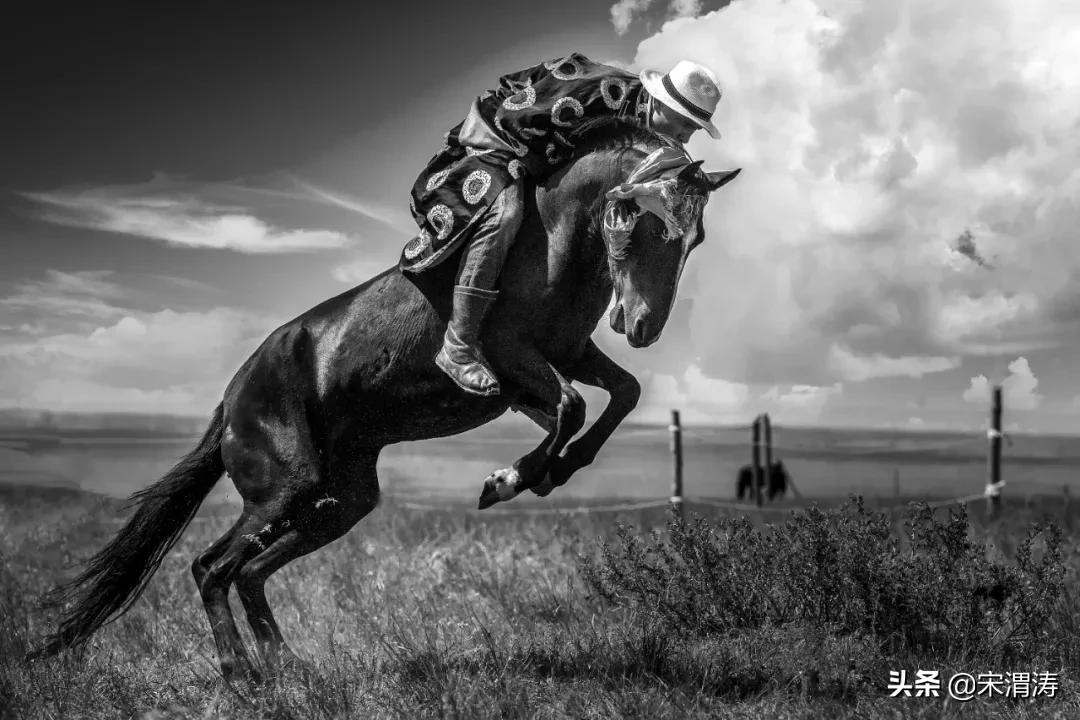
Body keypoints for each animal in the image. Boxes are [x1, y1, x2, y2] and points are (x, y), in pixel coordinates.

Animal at [33, 118, 741, 681]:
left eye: (695, 237)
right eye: (645, 220)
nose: (644, 325)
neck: (554, 239)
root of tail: (230, 402)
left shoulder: (566, 355)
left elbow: (619, 395)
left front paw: (542, 472)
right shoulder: (515, 355)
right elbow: (570, 407)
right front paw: (511, 478)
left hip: (339, 500)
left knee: (251, 571)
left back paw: (288, 665)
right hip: (283, 487)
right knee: (212, 567)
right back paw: (240, 675)